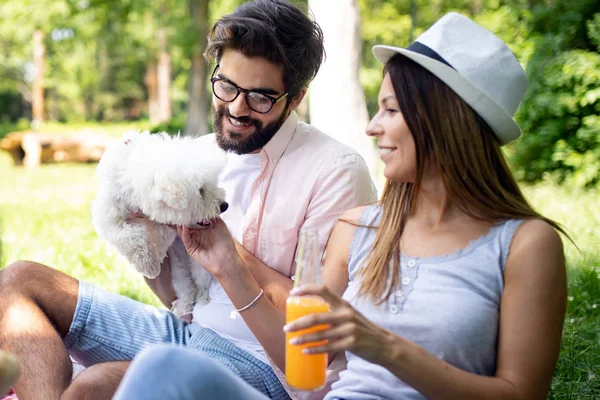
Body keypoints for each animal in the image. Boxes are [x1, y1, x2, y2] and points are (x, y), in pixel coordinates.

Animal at [91, 131, 227, 318]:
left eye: (214, 183)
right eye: (201, 191)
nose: (224, 205)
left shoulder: (167, 227)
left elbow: (157, 235)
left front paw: (152, 260)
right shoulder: (108, 215)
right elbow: (128, 236)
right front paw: (147, 264)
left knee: (199, 282)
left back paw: (201, 297)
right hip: (179, 267)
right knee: (186, 286)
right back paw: (184, 305)